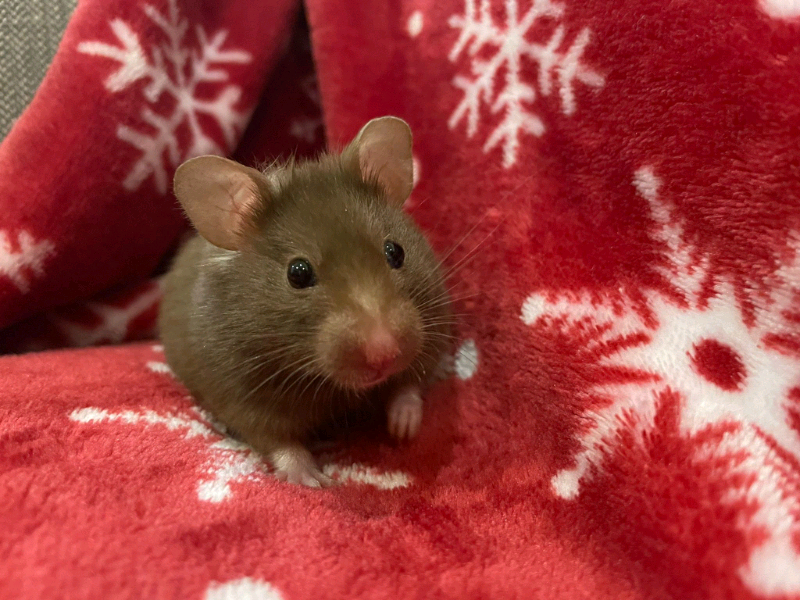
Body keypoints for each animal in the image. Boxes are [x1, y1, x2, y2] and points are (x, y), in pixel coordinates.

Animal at [158, 116, 453, 487]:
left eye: (395, 252)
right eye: (297, 273)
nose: (384, 353)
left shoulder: (432, 327)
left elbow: (410, 385)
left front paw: (404, 431)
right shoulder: (241, 393)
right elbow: (278, 441)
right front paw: (316, 480)